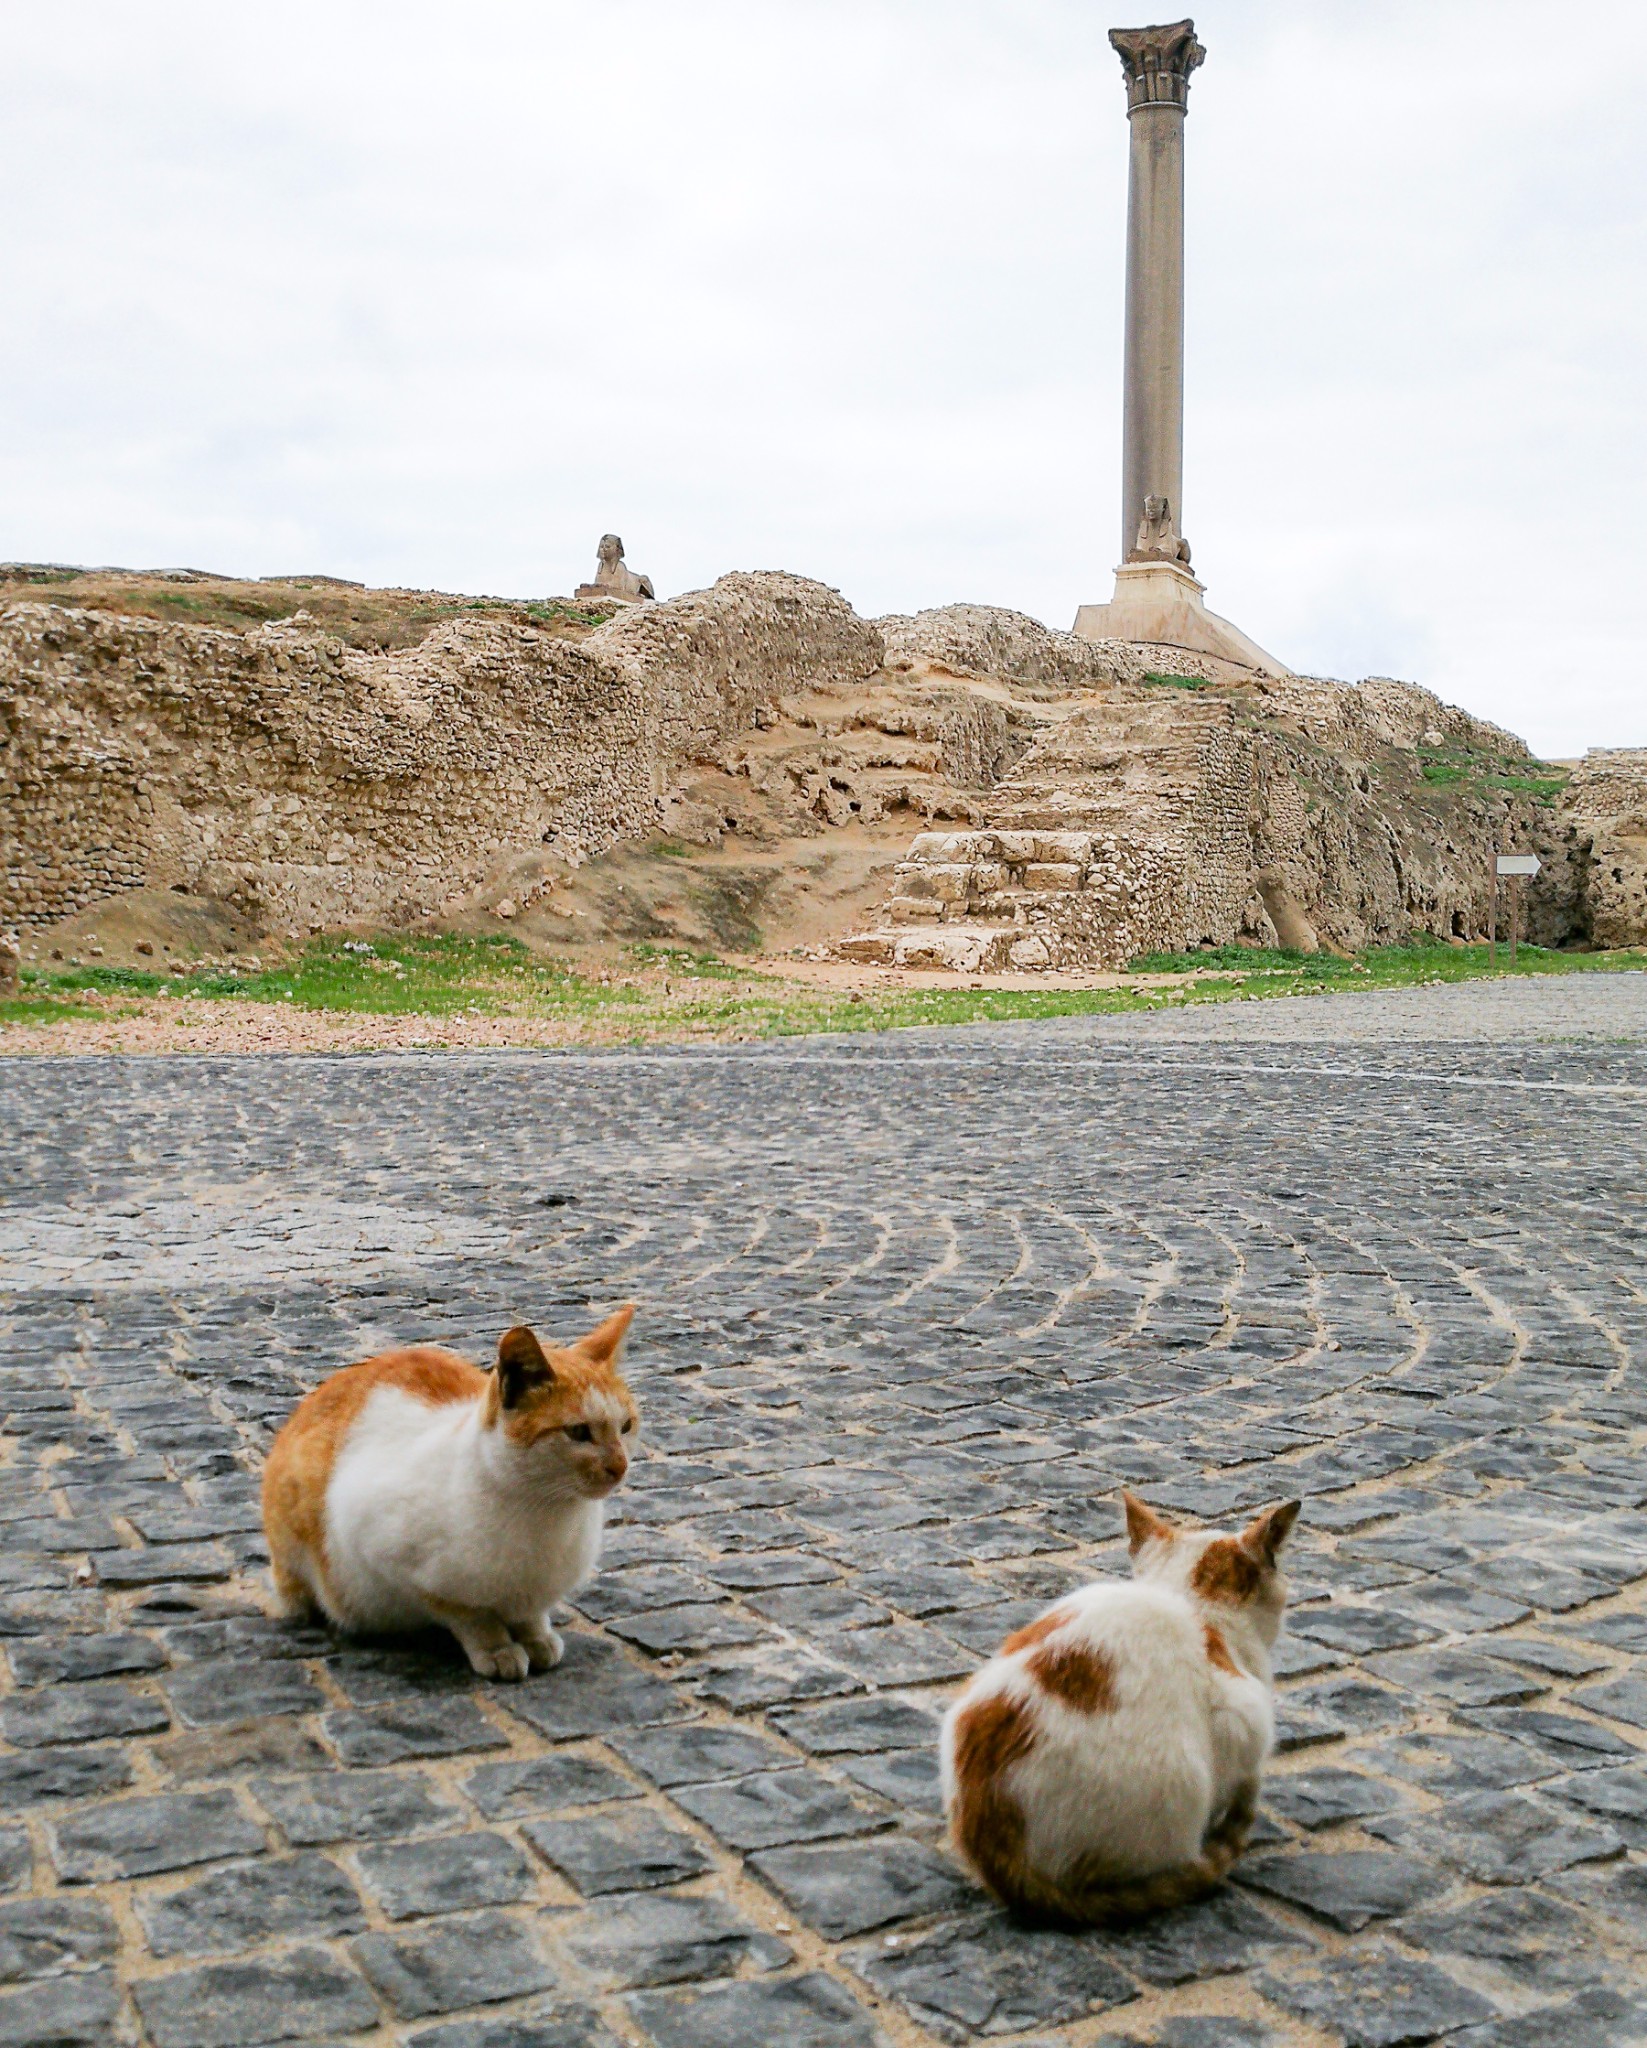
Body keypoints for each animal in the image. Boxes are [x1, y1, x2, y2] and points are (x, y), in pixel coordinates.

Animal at [262, 1310, 635, 1679]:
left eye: (627, 1426)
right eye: (578, 1432)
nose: (620, 1466)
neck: (546, 1512)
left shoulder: (532, 1592)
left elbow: (529, 1615)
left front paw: (537, 1637)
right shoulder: (390, 1559)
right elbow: (469, 1615)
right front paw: (497, 1648)